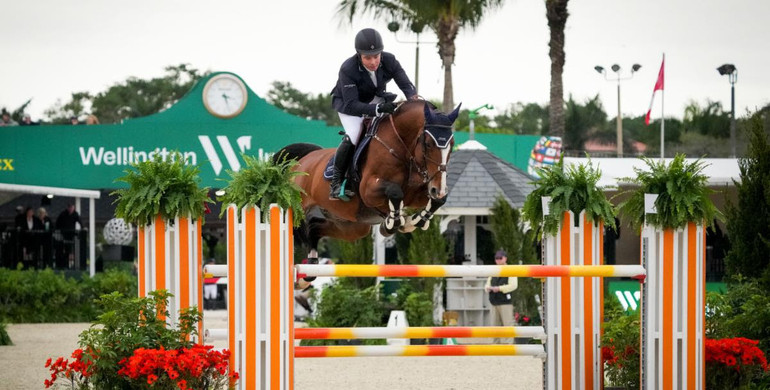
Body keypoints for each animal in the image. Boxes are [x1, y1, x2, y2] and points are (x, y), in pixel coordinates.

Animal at [274, 99, 460, 266]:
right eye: (428, 144)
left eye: (452, 144)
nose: (438, 188)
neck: (402, 147)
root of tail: (303, 160)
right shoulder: (368, 190)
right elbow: (394, 191)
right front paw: (393, 223)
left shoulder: (416, 194)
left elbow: (437, 200)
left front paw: (416, 220)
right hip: (299, 210)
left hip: (350, 225)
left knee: (316, 228)